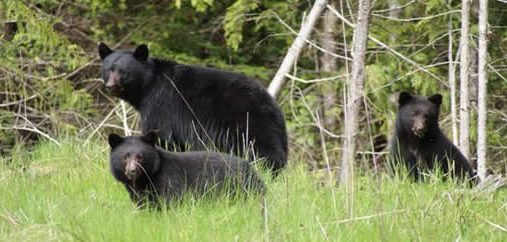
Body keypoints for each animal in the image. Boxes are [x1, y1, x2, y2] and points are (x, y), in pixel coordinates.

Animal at [97, 43, 288, 175]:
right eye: (108, 69)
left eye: (123, 71)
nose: (110, 86)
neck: (147, 86)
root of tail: (273, 105)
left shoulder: (160, 105)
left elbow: (161, 135)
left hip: (249, 122)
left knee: (264, 150)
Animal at [107, 131, 266, 207]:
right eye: (125, 157)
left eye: (140, 156)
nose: (132, 171)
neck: (146, 178)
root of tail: (252, 170)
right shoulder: (136, 192)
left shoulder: (168, 178)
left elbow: (171, 199)